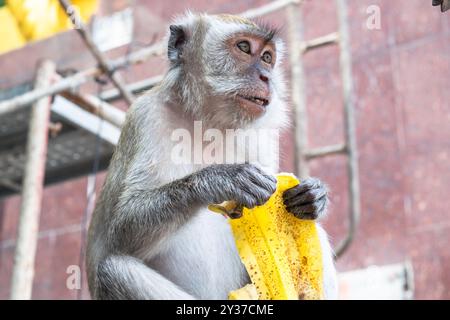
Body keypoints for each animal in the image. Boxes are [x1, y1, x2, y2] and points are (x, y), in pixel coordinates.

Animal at [85, 11, 338, 300]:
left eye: (267, 57)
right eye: (244, 47)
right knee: (113, 270)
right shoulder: (146, 117)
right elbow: (120, 231)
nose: (266, 77)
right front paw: (223, 178)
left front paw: (314, 196)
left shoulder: (262, 138)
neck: (208, 124)